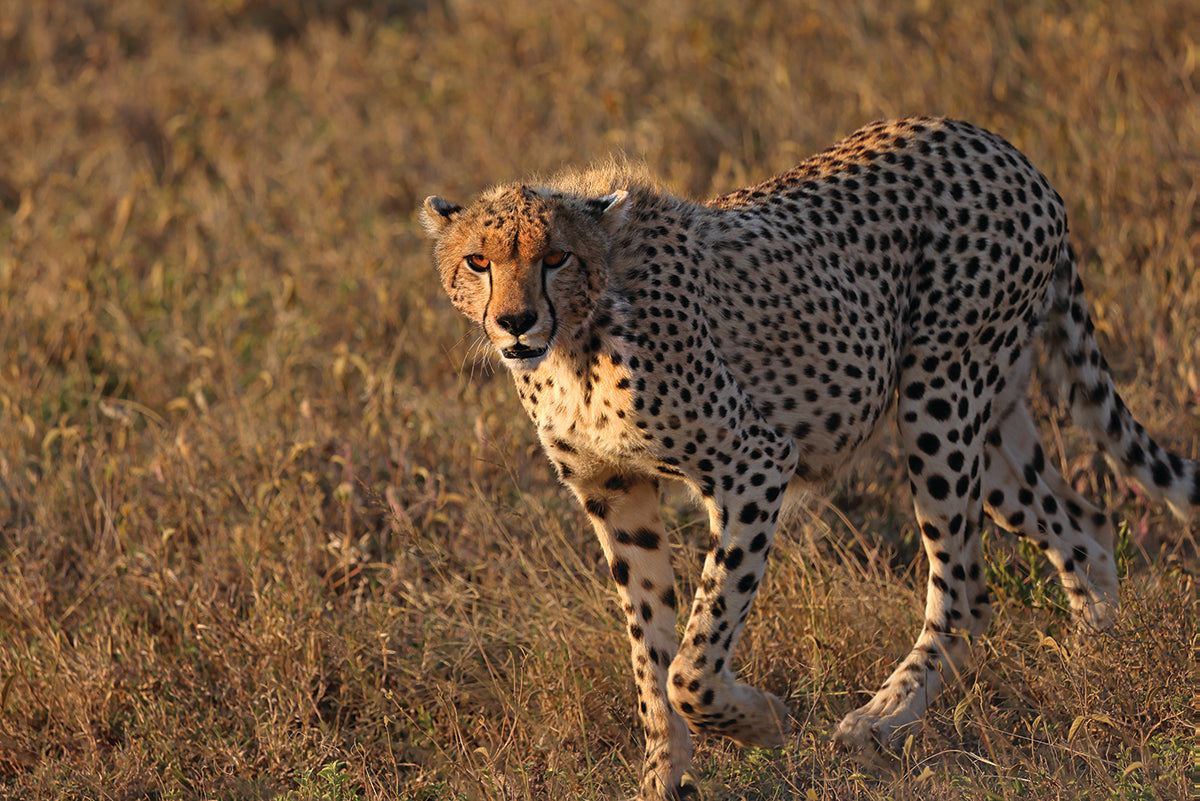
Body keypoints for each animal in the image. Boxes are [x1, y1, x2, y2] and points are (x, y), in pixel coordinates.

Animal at [419, 117, 1199, 800]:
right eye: (478, 262)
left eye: (555, 258)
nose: (515, 322)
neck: (575, 340)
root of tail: (996, 144)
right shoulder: (616, 492)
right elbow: (651, 653)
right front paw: (664, 778)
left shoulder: (755, 462)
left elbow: (692, 658)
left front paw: (761, 721)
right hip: (994, 417)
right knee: (1085, 525)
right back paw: (1093, 671)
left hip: (938, 396)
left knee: (967, 588)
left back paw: (882, 720)